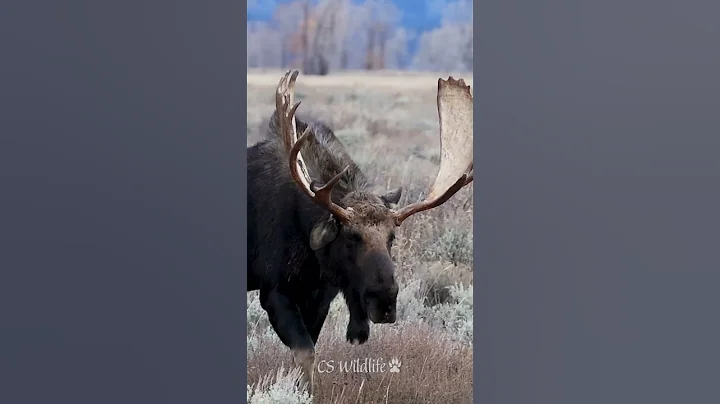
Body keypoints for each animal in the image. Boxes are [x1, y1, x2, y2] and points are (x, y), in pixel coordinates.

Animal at [246, 70, 473, 395]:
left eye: (392, 238)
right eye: (350, 237)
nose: (385, 301)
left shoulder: (320, 297)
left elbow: (307, 350)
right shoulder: (274, 290)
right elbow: (305, 353)